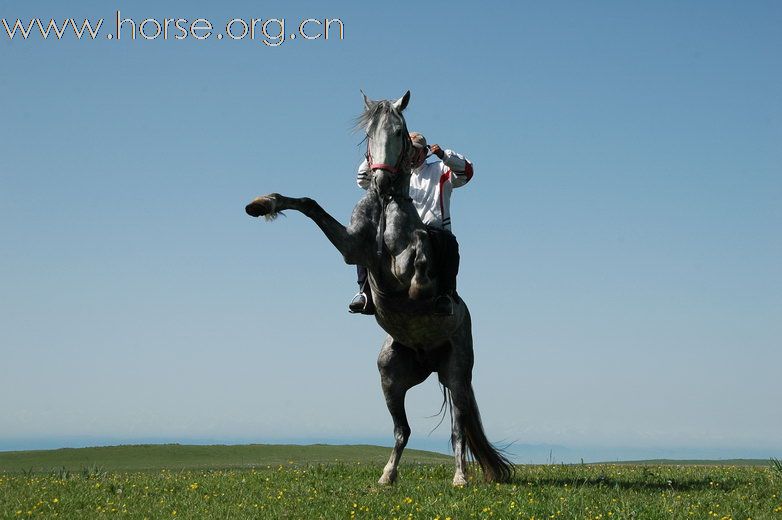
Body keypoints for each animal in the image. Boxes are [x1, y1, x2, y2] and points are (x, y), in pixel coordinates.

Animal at [245, 91, 516, 486]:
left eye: (400, 132)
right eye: (367, 134)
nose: (381, 183)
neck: (387, 206)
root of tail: (428, 360)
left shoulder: (403, 259)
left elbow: (421, 241)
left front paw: (422, 288)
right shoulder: (353, 249)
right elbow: (309, 204)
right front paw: (262, 203)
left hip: (457, 373)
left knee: (458, 430)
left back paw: (460, 478)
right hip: (391, 377)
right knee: (403, 430)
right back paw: (386, 477)